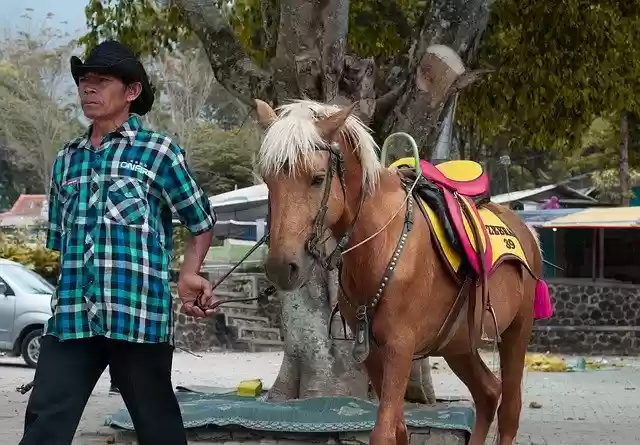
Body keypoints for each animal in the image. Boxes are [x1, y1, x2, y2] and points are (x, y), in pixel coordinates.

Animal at [254, 98, 551, 445]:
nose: (281, 267)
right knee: (488, 392)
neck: (380, 243)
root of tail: (527, 231)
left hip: (518, 330)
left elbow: (384, 431)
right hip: (458, 343)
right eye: (268, 180)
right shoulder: (372, 353)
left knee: (509, 410)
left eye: (316, 178)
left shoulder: (400, 347)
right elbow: (397, 429)